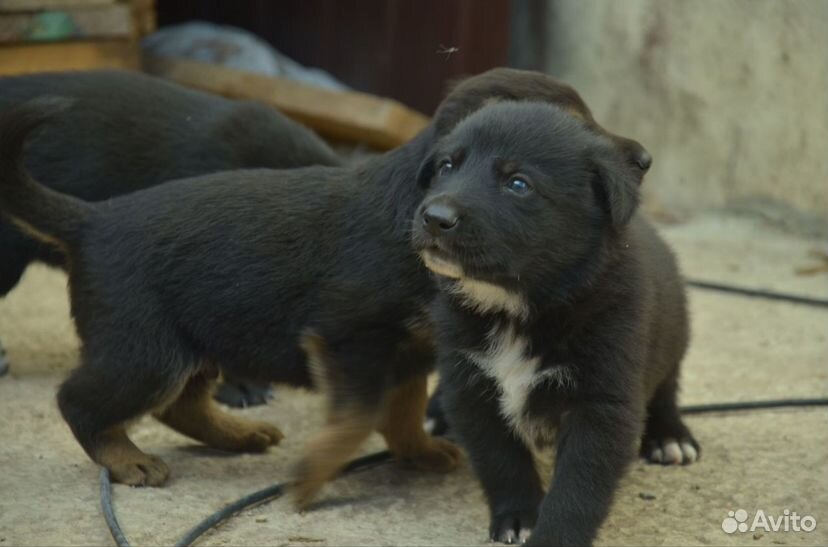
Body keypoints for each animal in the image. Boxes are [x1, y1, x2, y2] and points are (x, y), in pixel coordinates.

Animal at [414, 100, 700, 544]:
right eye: (446, 166)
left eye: (518, 184)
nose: (434, 217)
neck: (515, 307)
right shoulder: (471, 387)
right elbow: (500, 459)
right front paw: (517, 516)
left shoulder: (602, 400)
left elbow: (579, 484)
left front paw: (556, 535)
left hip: (672, 334)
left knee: (666, 389)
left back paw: (670, 436)